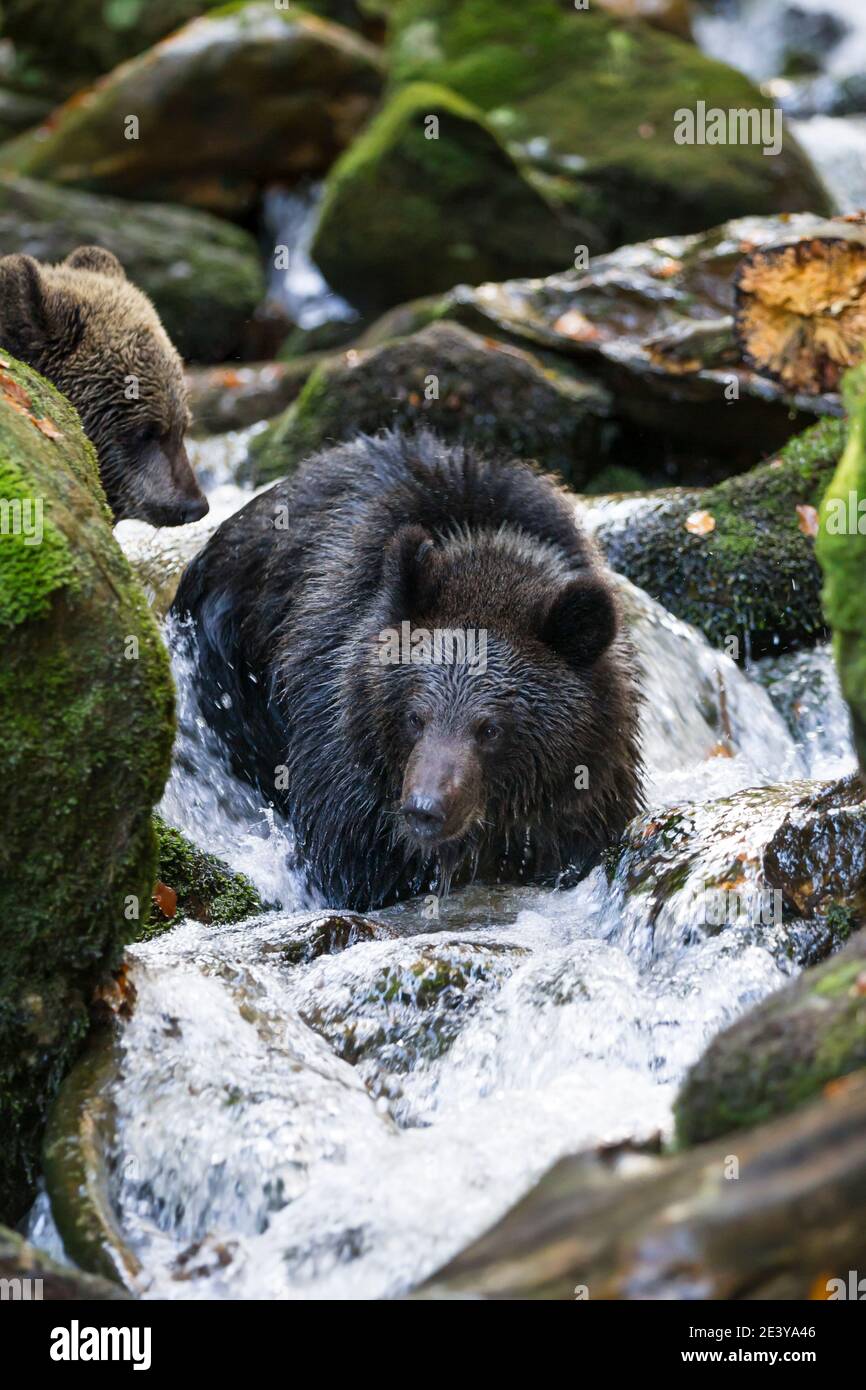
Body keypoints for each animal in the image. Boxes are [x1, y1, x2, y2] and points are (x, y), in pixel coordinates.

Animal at [173, 433, 644, 911]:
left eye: (490, 728)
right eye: (414, 717)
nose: (425, 808)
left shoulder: (581, 796)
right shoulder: (348, 764)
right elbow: (356, 861)